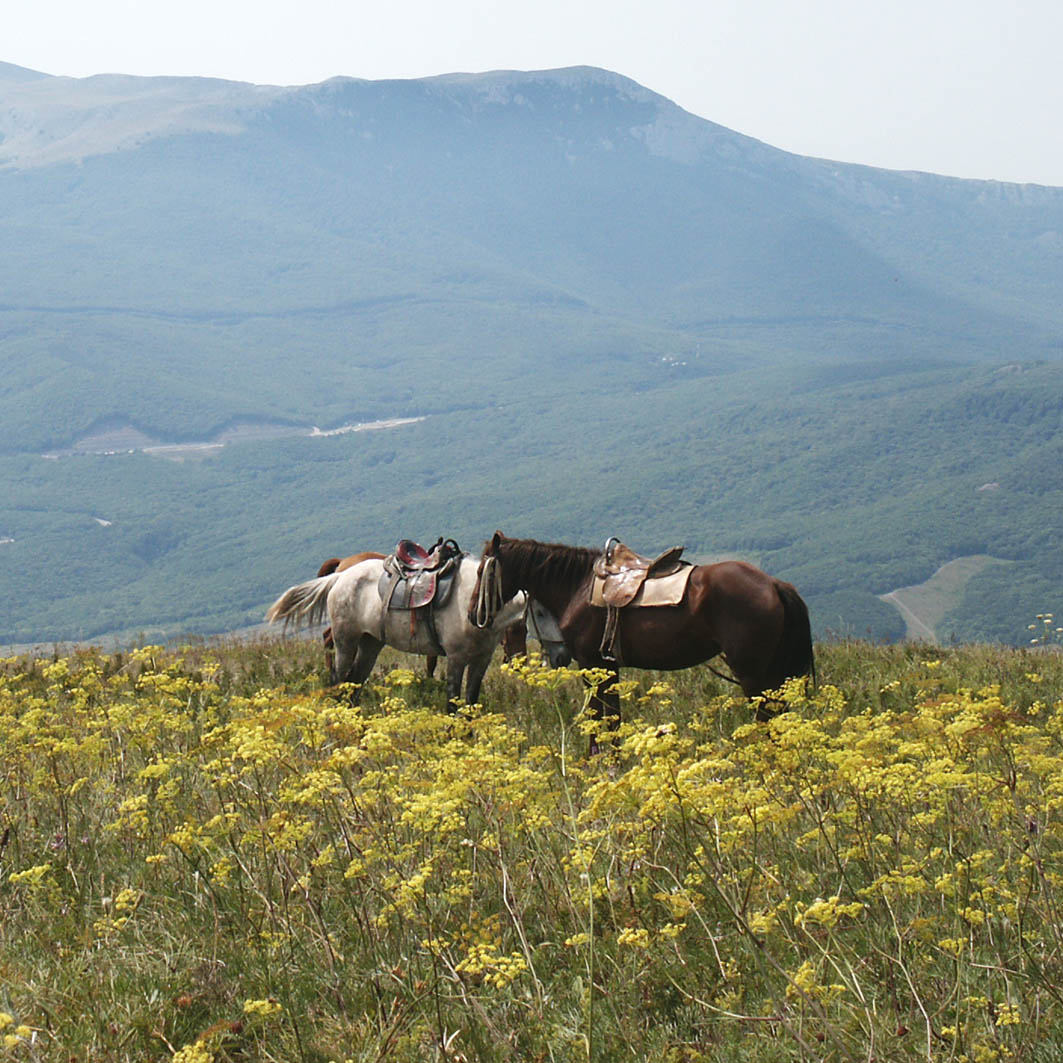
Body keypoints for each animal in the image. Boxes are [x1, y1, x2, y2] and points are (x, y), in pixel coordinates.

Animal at [265, 557, 522, 705]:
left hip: (370, 643)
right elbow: (453, 702)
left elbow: (470, 703)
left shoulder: (481, 660)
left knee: (355, 682)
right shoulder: (456, 659)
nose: (520, 662)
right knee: (339, 679)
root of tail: (340, 575)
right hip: (345, 640)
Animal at [474, 535, 812, 727]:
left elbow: (601, 721)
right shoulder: (608, 668)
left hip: (752, 674)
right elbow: (612, 720)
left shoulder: (592, 665)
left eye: (482, 572)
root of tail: (774, 585)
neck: (577, 586)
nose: (473, 614)